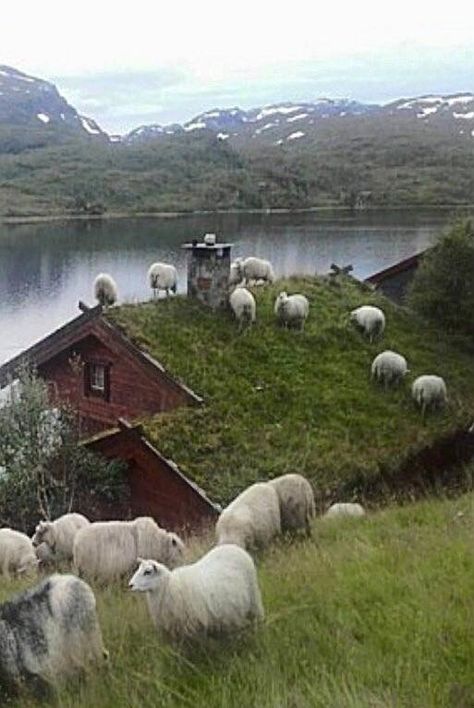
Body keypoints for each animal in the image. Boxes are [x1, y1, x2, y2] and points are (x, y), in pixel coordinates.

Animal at [128, 544, 264, 640]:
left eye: (147, 572)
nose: (130, 585)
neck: (168, 587)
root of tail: (233, 547)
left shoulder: (196, 628)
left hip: (254, 596)